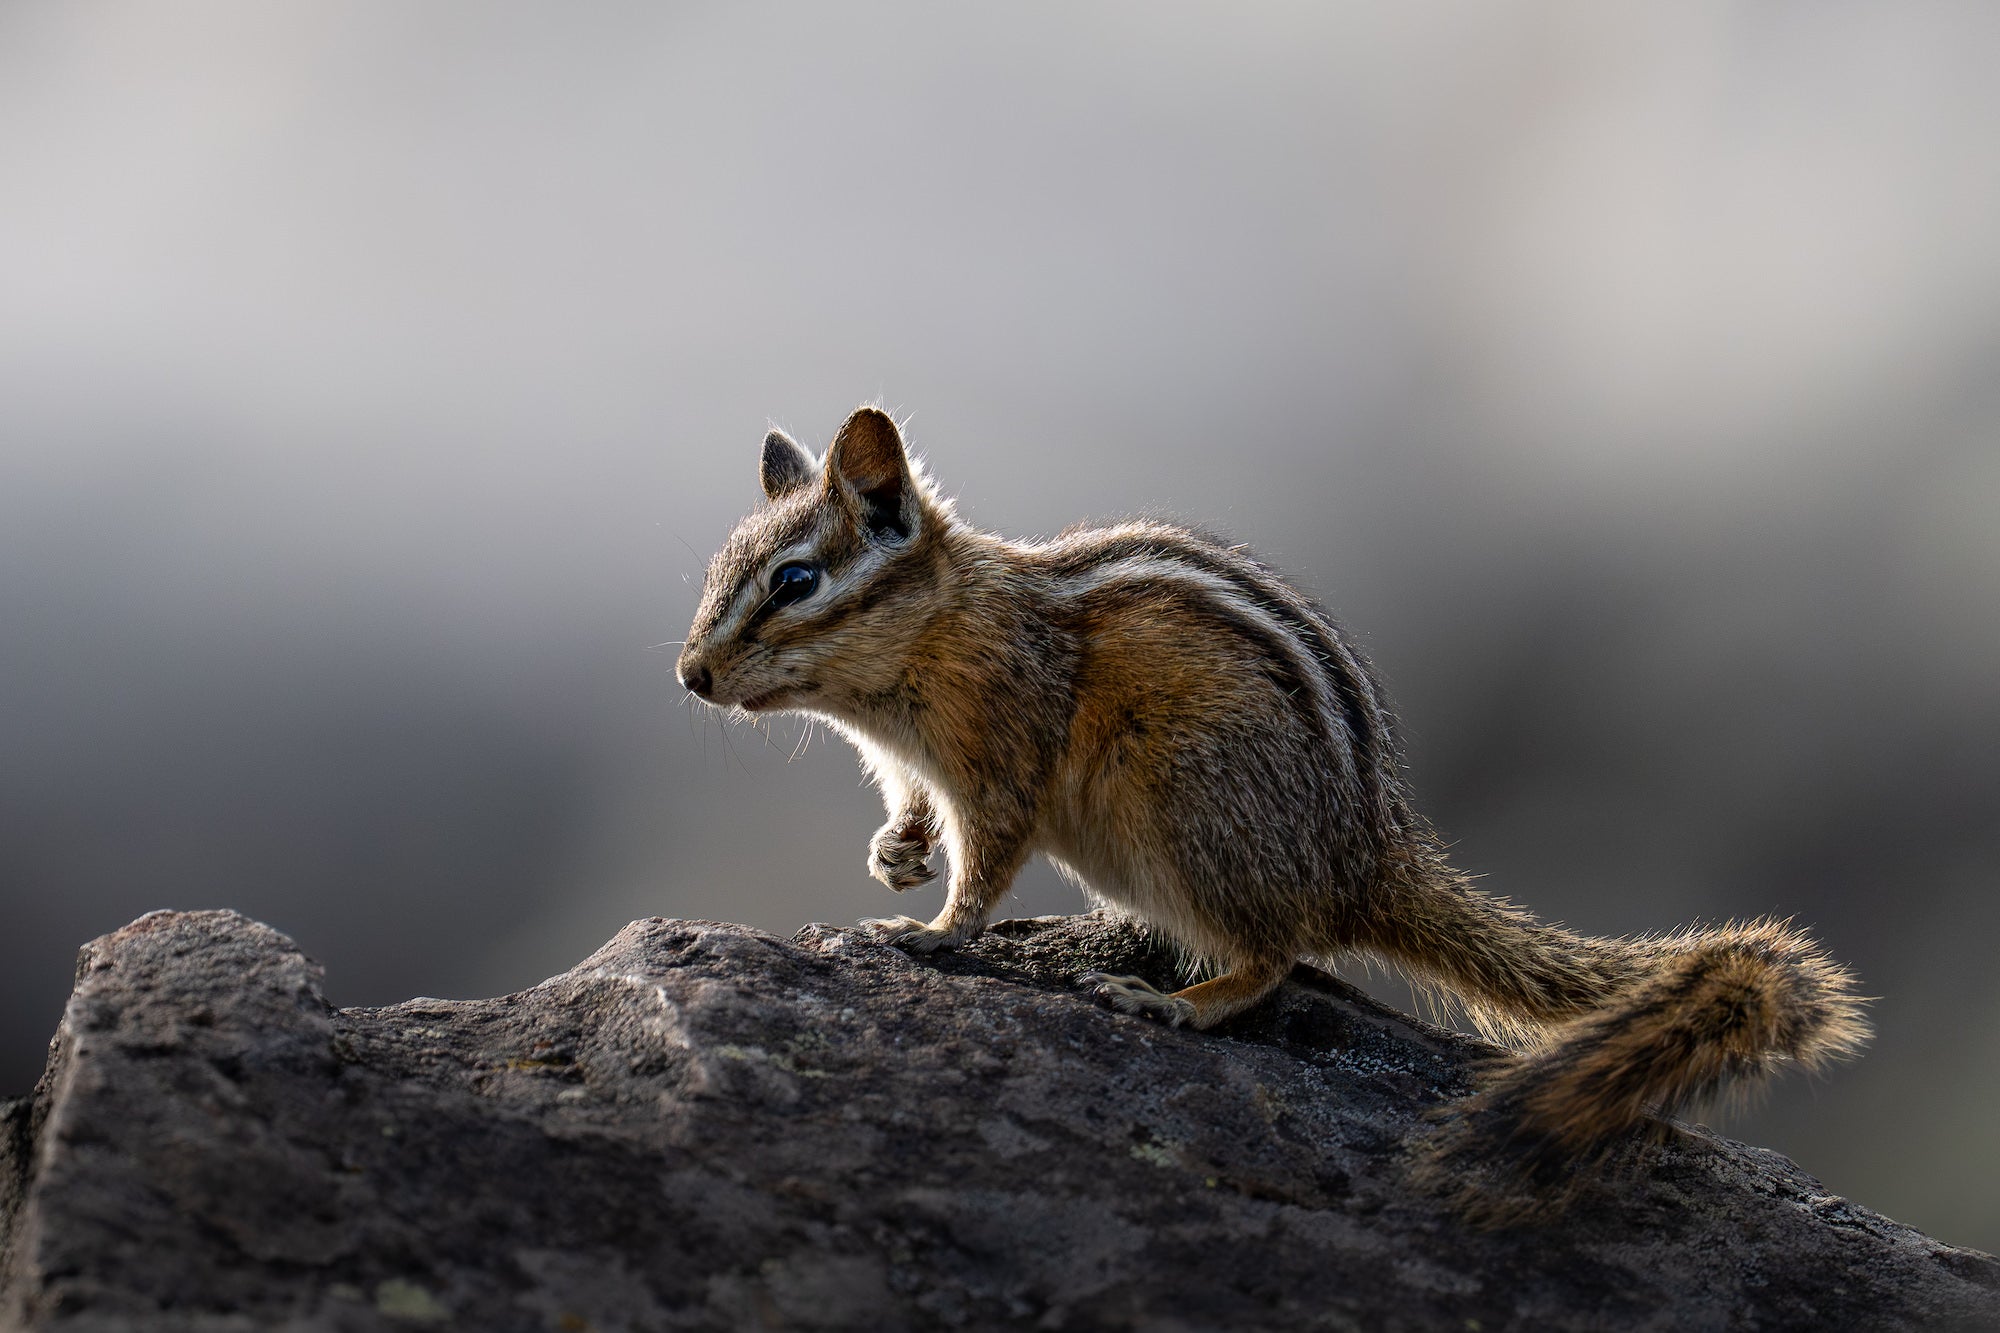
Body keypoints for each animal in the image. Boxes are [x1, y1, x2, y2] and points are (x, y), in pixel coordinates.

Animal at [676, 405, 1870, 1217]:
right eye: (719, 565)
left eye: (793, 581)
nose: (689, 675)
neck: (923, 646)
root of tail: (1366, 858)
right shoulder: (913, 763)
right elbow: (919, 811)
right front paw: (896, 854)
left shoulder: (1003, 754)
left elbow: (990, 858)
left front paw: (929, 932)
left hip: (1184, 808)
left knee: (1277, 957)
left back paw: (1175, 1003)